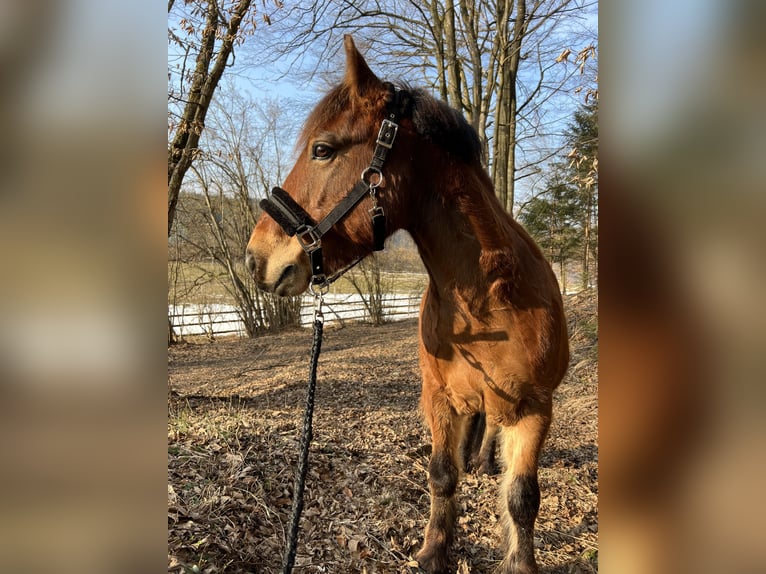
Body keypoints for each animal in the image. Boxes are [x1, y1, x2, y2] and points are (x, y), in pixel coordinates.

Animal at [246, 36, 568, 574]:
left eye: (322, 150)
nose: (256, 259)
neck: (486, 303)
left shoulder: (535, 408)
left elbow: (523, 497)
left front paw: (519, 561)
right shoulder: (439, 398)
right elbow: (442, 475)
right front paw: (435, 551)